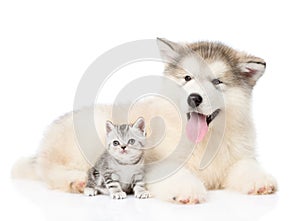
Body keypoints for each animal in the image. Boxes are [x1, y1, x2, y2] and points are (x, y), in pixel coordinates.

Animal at [12, 37, 278, 204]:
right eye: (187, 78)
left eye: (217, 82)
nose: (194, 98)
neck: (205, 141)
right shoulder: (153, 165)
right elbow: (178, 175)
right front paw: (188, 189)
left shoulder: (238, 157)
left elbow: (246, 166)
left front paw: (260, 181)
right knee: (50, 171)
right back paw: (75, 181)